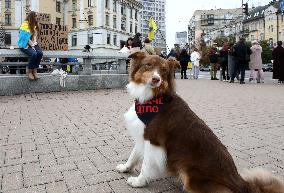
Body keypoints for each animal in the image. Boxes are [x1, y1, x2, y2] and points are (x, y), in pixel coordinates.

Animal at [116, 51, 284, 193]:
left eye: (163, 70)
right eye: (148, 65)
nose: (156, 79)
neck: (153, 99)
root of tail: (241, 184)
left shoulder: (153, 140)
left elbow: (146, 164)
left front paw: (139, 181)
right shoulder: (142, 135)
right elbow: (133, 155)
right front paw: (125, 167)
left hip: (190, 177)